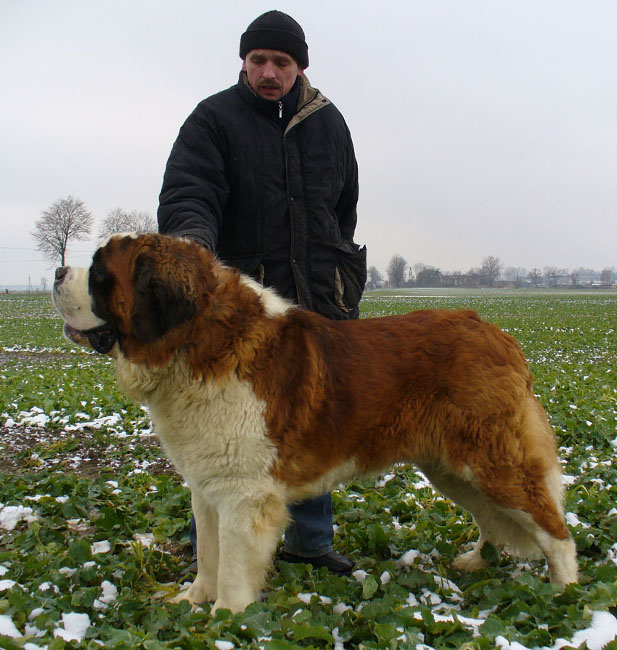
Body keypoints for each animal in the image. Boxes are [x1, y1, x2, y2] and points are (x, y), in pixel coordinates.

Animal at [52, 233, 577, 613]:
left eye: (100, 273)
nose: (57, 270)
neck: (195, 343)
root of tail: (499, 335)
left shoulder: (244, 495)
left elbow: (234, 567)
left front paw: (225, 619)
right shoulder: (207, 487)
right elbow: (209, 554)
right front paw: (194, 602)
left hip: (493, 462)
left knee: (553, 526)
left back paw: (564, 595)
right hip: (452, 468)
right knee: (494, 518)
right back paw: (478, 561)